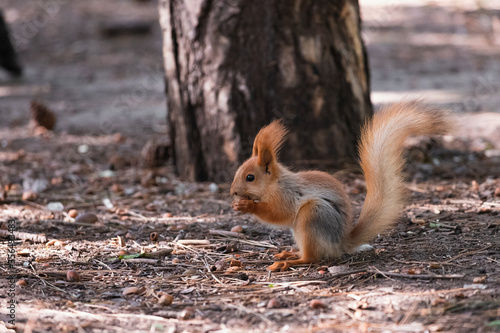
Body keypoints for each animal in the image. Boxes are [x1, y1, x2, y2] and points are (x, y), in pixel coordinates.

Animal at [230, 100, 454, 270]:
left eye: (250, 177)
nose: (233, 191)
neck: (273, 183)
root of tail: (341, 243)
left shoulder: (286, 195)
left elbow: (278, 214)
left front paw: (247, 205)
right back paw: (288, 254)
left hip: (313, 214)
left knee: (312, 258)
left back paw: (291, 262)